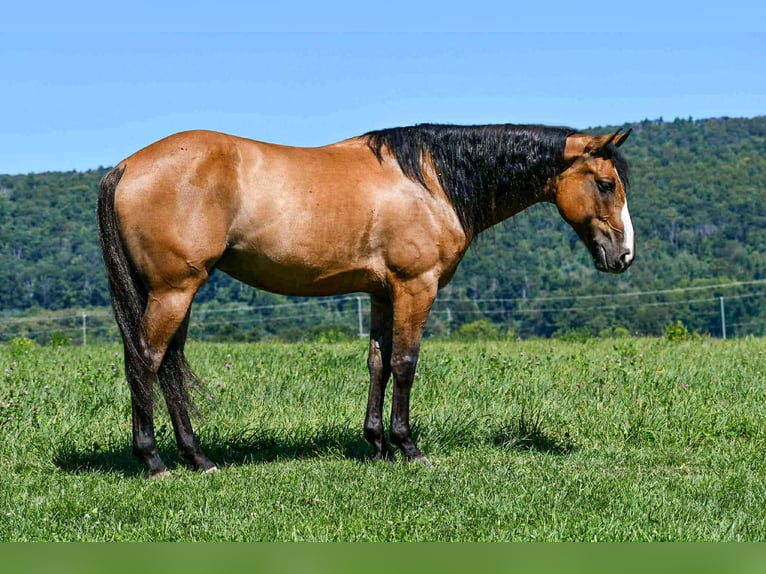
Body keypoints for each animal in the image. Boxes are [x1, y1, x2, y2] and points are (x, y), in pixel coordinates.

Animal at [97, 123, 633, 476]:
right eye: (606, 184)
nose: (624, 255)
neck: (431, 180)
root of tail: (124, 167)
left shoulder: (381, 293)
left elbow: (378, 363)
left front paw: (376, 445)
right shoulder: (415, 286)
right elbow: (405, 363)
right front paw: (409, 448)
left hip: (176, 293)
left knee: (169, 364)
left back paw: (198, 457)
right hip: (173, 291)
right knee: (146, 360)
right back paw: (153, 460)